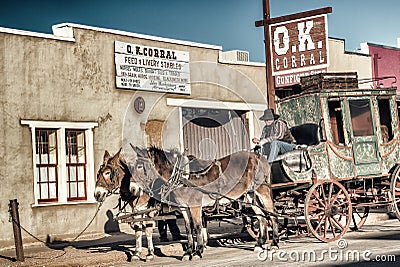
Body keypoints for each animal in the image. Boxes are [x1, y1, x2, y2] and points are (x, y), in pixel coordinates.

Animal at [131, 146, 278, 258]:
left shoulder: (195, 206)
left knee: (273, 215)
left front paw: (197, 251)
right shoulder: (184, 208)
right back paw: (260, 244)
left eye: (140, 166)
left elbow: (197, 226)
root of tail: (260, 157)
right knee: (261, 217)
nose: (133, 188)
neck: (181, 176)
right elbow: (188, 228)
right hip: (250, 194)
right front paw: (188, 252)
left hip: (262, 190)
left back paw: (274, 243)